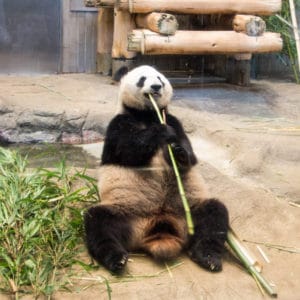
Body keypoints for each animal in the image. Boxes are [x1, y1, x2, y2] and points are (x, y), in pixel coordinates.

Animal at [83, 65, 229, 274]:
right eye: (142, 79)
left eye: (160, 78)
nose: (156, 87)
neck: (148, 115)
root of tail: (160, 229)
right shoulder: (119, 123)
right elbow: (127, 150)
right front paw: (161, 132)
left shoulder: (176, 122)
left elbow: (190, 157)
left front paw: (177, 151)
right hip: (126, 212)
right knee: (98, 222)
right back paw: (117, 259)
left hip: (188, 212)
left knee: (214, 216)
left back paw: (208, 257)